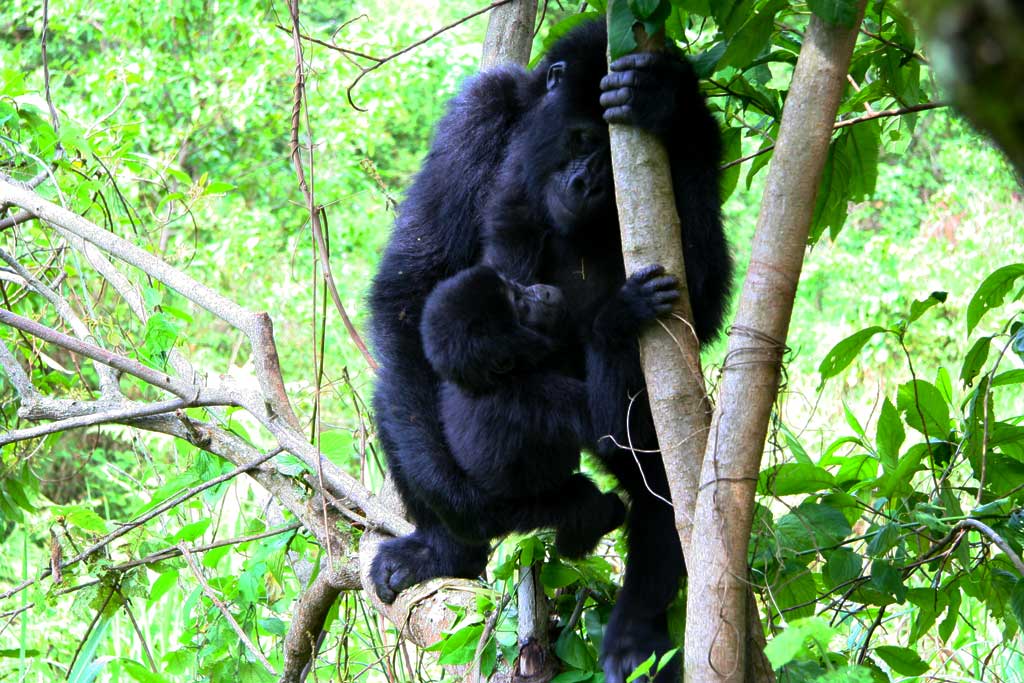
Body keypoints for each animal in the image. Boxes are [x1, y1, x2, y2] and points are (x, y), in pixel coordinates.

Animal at [419, 264, 626, 557]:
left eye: (515, 286)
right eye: (519, 304)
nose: (541, 291)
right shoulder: (533, 396)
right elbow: (611, 432)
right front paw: (620, 315)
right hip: (516, 512)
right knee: (581, 500)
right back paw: (587, 532)